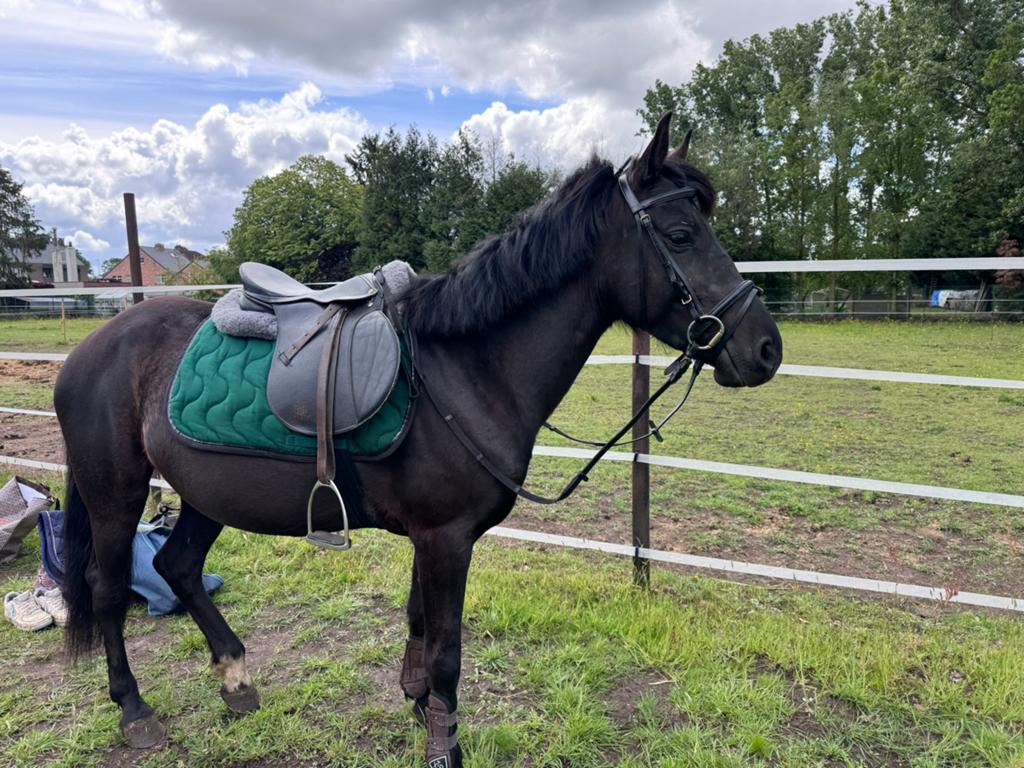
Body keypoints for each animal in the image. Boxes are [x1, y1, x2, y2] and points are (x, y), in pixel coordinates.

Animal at [54, 113, 781, 768]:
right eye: (681, 235)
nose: (766, 350)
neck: (466, 366)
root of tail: (88, 350)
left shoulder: (433, 540)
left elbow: (418, 628)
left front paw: (419, 707)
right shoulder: (445, 539)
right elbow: (448, 651)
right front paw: (443, 746)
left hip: (207, 493)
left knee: (177, 567)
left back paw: (236, 679)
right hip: (116, 495)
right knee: (108, 587)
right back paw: (135, 711)